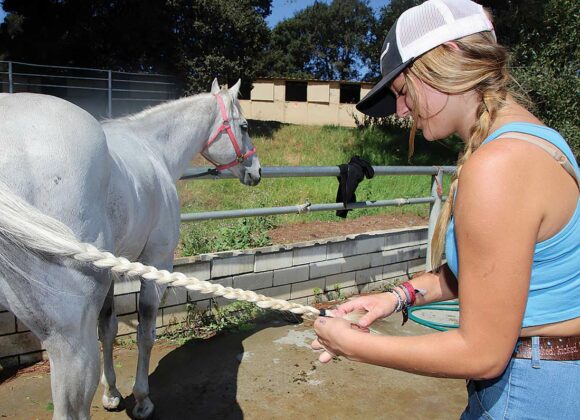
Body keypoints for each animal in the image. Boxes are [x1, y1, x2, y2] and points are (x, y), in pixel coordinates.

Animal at [0, 78, 260, 416]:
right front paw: (142, 399)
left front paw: (111, 393)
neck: (154, 149)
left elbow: (108, 329)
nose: (256, 171)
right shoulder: (157, 262)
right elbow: (145, 332)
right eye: (244, 126)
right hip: (69, 338)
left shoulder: (110, 272)